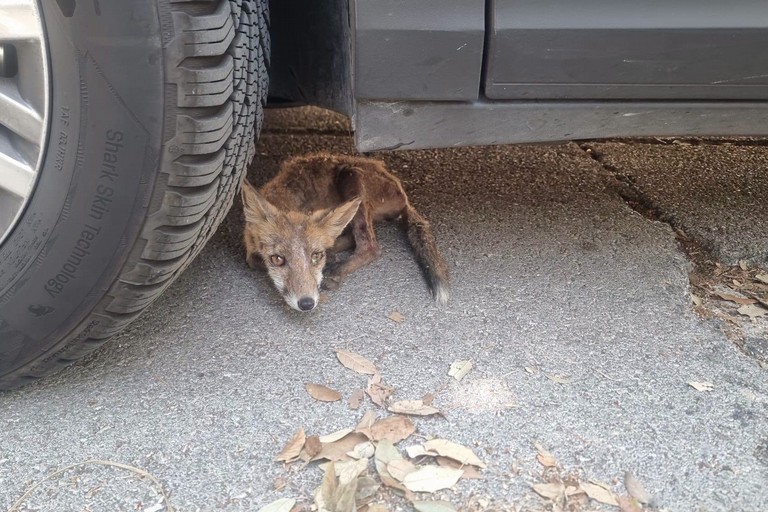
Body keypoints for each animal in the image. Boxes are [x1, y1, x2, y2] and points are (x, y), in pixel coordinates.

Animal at [240, 152, 450, 312]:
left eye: (315, 256)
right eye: (277, 259)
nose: (307, 303)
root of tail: (402, 192)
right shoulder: (250, 247)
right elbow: (254, 261)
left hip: (350, 176)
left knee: (370, 247)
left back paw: (337, 269)